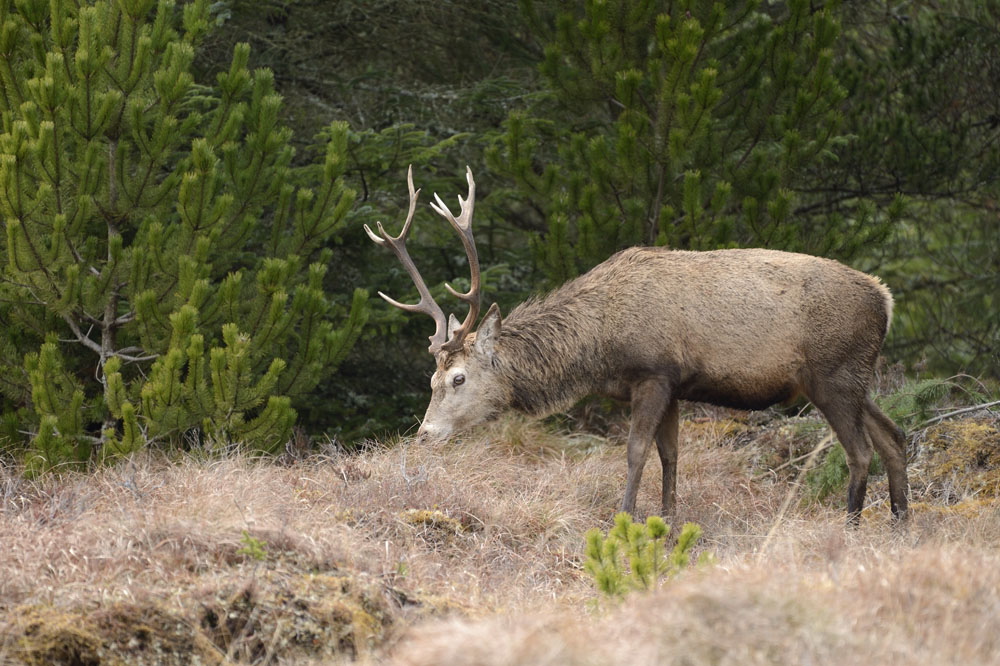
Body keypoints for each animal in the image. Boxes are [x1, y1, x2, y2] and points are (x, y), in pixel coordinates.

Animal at [366, 167, 910, 523]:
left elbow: (635, 451)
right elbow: (670, 455)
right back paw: (900, 521)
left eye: (458, 378)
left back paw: (852, 526)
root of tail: (885, 301)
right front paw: (668, 523)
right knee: (895, 437)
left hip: (832, 374)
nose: (425, 434)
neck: (599, 349)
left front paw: (624, 518)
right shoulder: (674, 385)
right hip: (854, 378)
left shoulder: (653, 373)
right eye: (431, 379)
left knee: (860, 450)